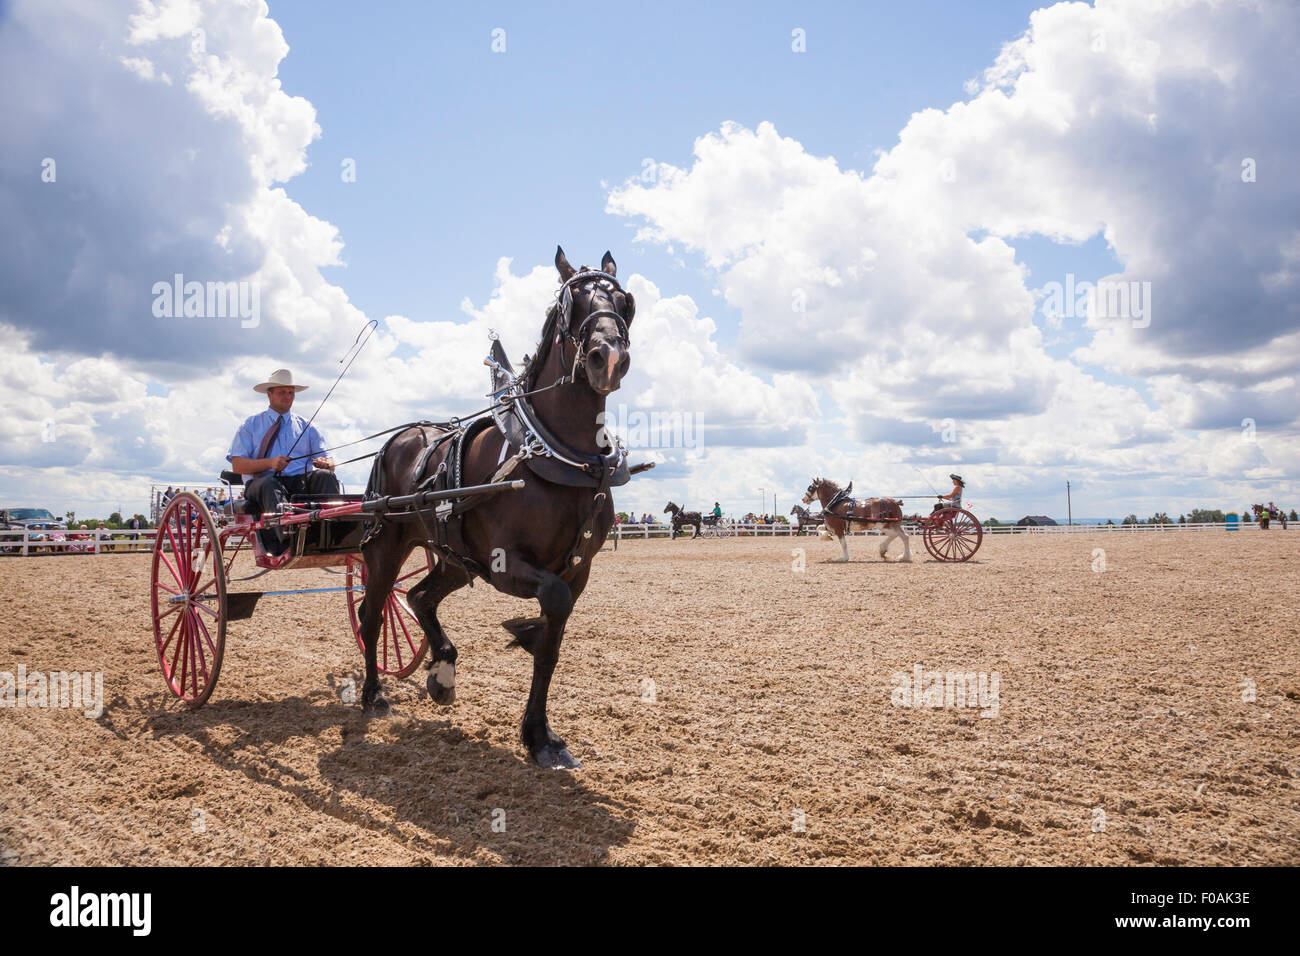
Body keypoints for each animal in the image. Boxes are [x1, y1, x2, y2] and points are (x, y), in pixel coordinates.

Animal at [356, 247, 634, 769]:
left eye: (625, 302)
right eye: (570, 305)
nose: (608, 357)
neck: (558, 454)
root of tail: (400, 438)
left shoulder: (577, 570)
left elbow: (551, 646)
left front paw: (540, 735)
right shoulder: (505, 564)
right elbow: (549, 615)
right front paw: (524, 634)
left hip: (451, 556)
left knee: (419, 597)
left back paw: (442, 671)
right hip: (386, 544)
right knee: (373, 613)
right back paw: (372, 694)